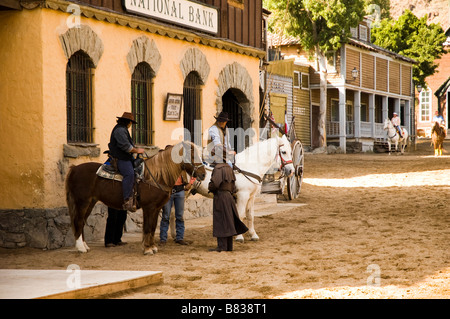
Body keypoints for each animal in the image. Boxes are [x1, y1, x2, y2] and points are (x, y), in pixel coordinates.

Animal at [65, 141, 206, 256]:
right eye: (192, 156)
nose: (203, 174)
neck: (155, 176)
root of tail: (74, 168)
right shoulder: (149, 207)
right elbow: (148, 227)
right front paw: (148, 249)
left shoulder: (156, 208)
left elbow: (153, 227)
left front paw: (152, 247)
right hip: (82, 201)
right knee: (78, 221)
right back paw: (81, 248)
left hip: (91, 201)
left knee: (82, 221)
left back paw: (85, 246)